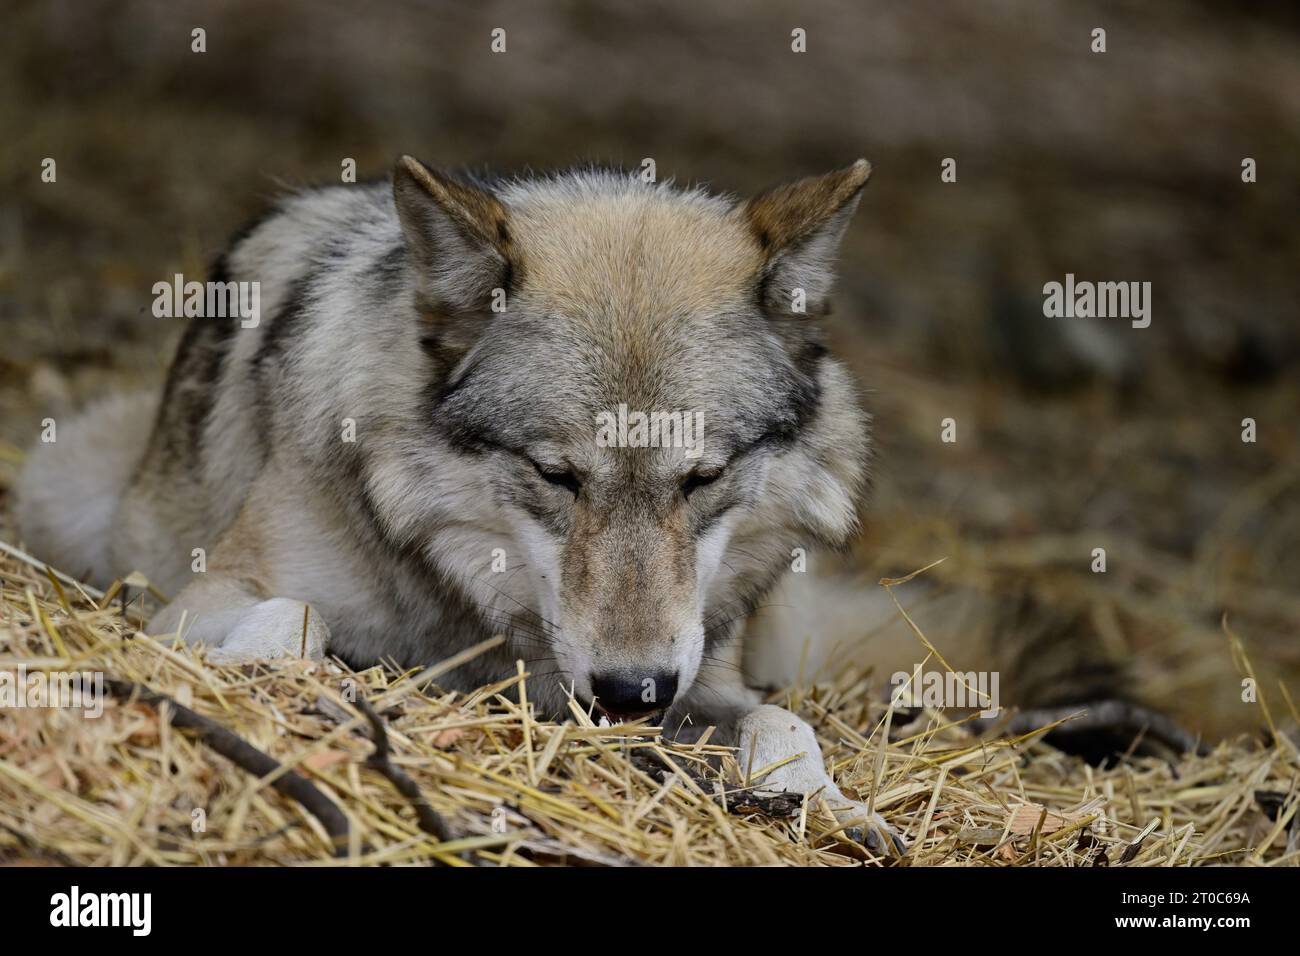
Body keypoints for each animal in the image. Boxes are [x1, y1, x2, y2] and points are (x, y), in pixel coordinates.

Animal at [20, 155, 915, 853]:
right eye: (557, 476)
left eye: (701, 479)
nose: (633, 693)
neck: (477, 610)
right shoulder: (200, 599)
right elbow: (293, 617)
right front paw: (299, 686)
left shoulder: (702, 678)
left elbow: (784, 723)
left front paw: (836, 806)